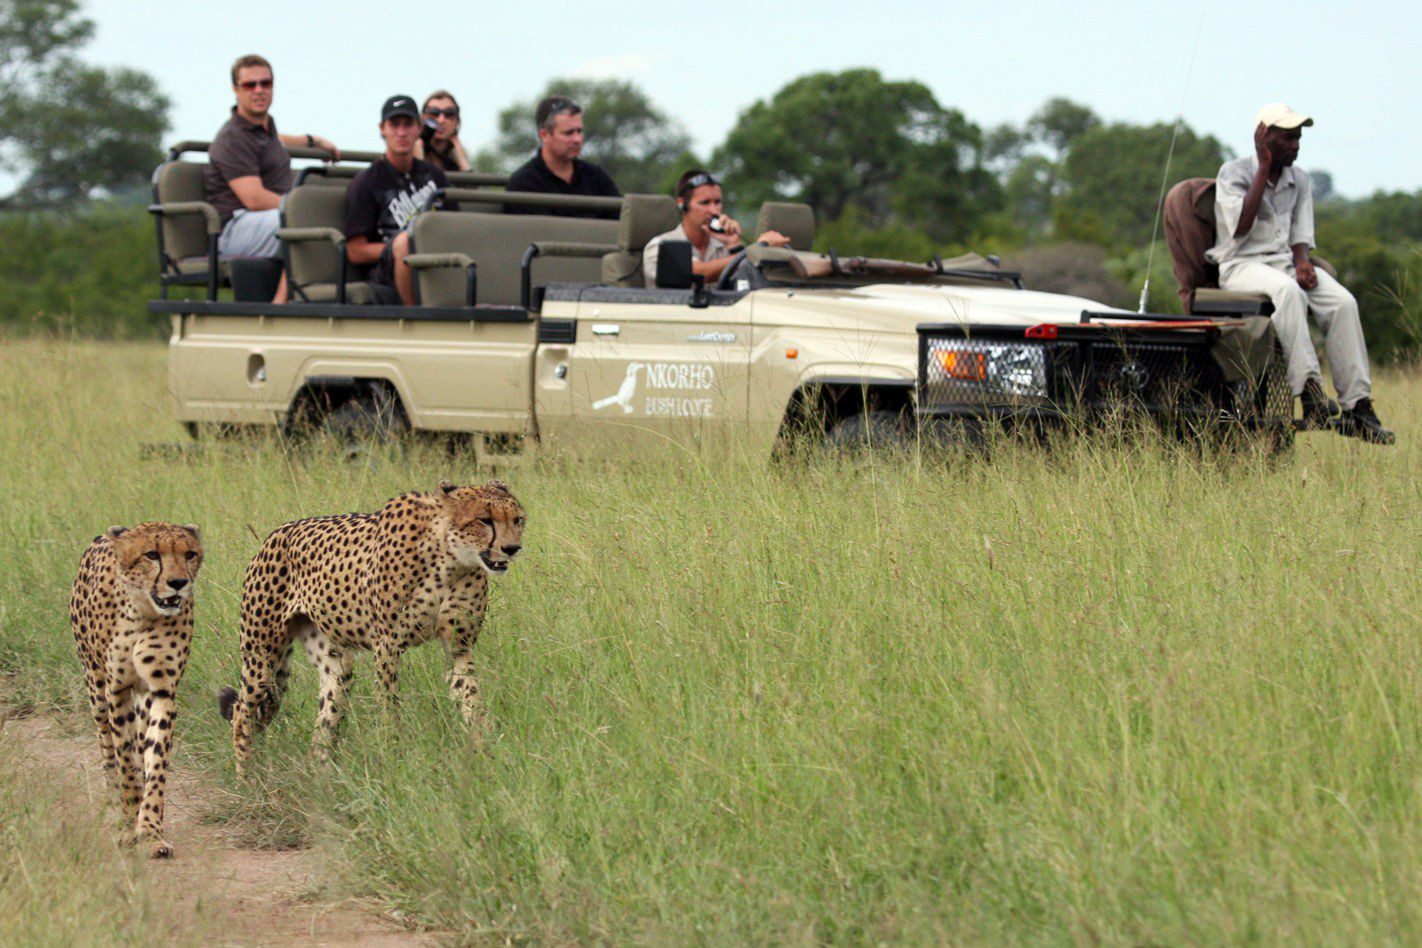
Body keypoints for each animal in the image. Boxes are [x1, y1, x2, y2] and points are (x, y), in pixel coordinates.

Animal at [69, 523, 201, 858]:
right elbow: (126, 763)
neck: (144, 612)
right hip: (96, 690)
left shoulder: (161, 690)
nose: (178, 583)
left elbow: (156, 761)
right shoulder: (117, 690)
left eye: (189, 554)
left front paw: (151, 830)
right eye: (151, 555)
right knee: (107, 749)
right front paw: (130, 826)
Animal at [221, 477, 528, 773]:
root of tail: (276, 533)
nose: (512, 548)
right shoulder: (388, 645)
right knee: (241, 713)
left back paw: (323, 777)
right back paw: (247, 777)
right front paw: (394, 755)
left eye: (517, 520)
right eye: (484, 520)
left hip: (335, 669)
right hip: (262, 658)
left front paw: (486, 751)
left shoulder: (459, 647)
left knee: (324, 720)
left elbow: (471, 700)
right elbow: (389, 706)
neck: (451, 560)